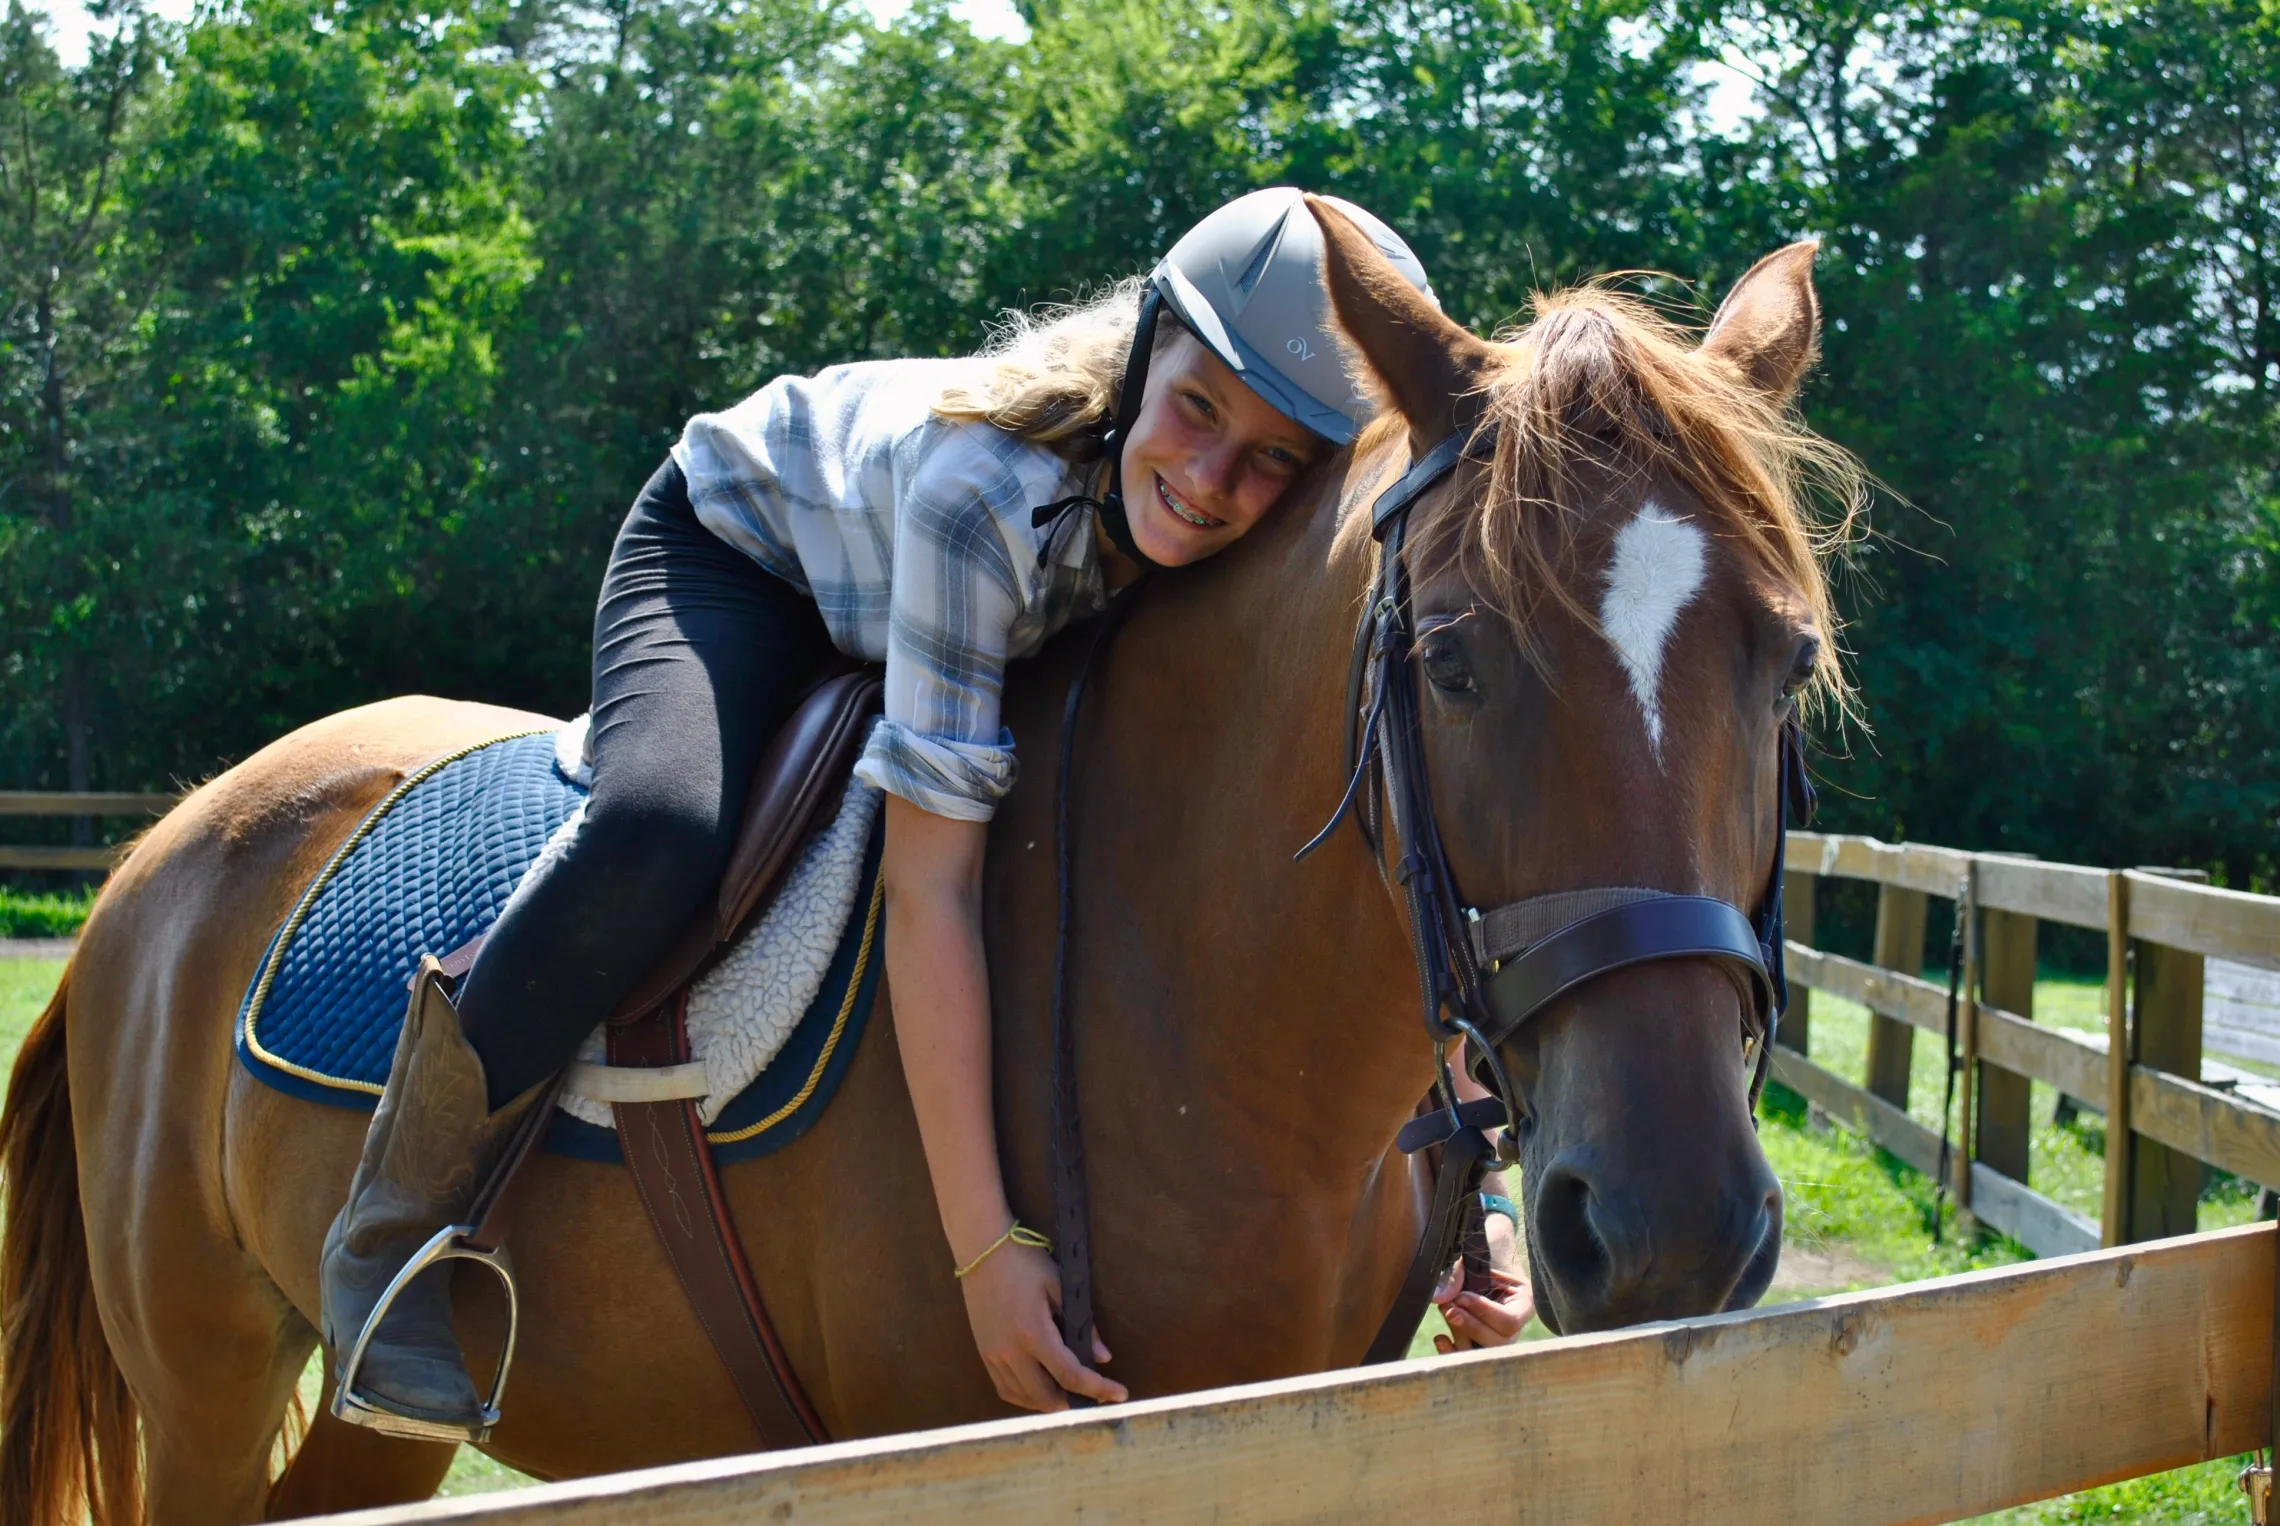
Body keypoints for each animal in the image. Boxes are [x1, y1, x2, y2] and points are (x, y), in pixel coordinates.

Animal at [0, 206, 1853, 1526]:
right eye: (1457, 661)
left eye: (1783, 663)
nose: (1673, 1224)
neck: (1210, 1022)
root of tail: (159, 856)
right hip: (205, 1385)